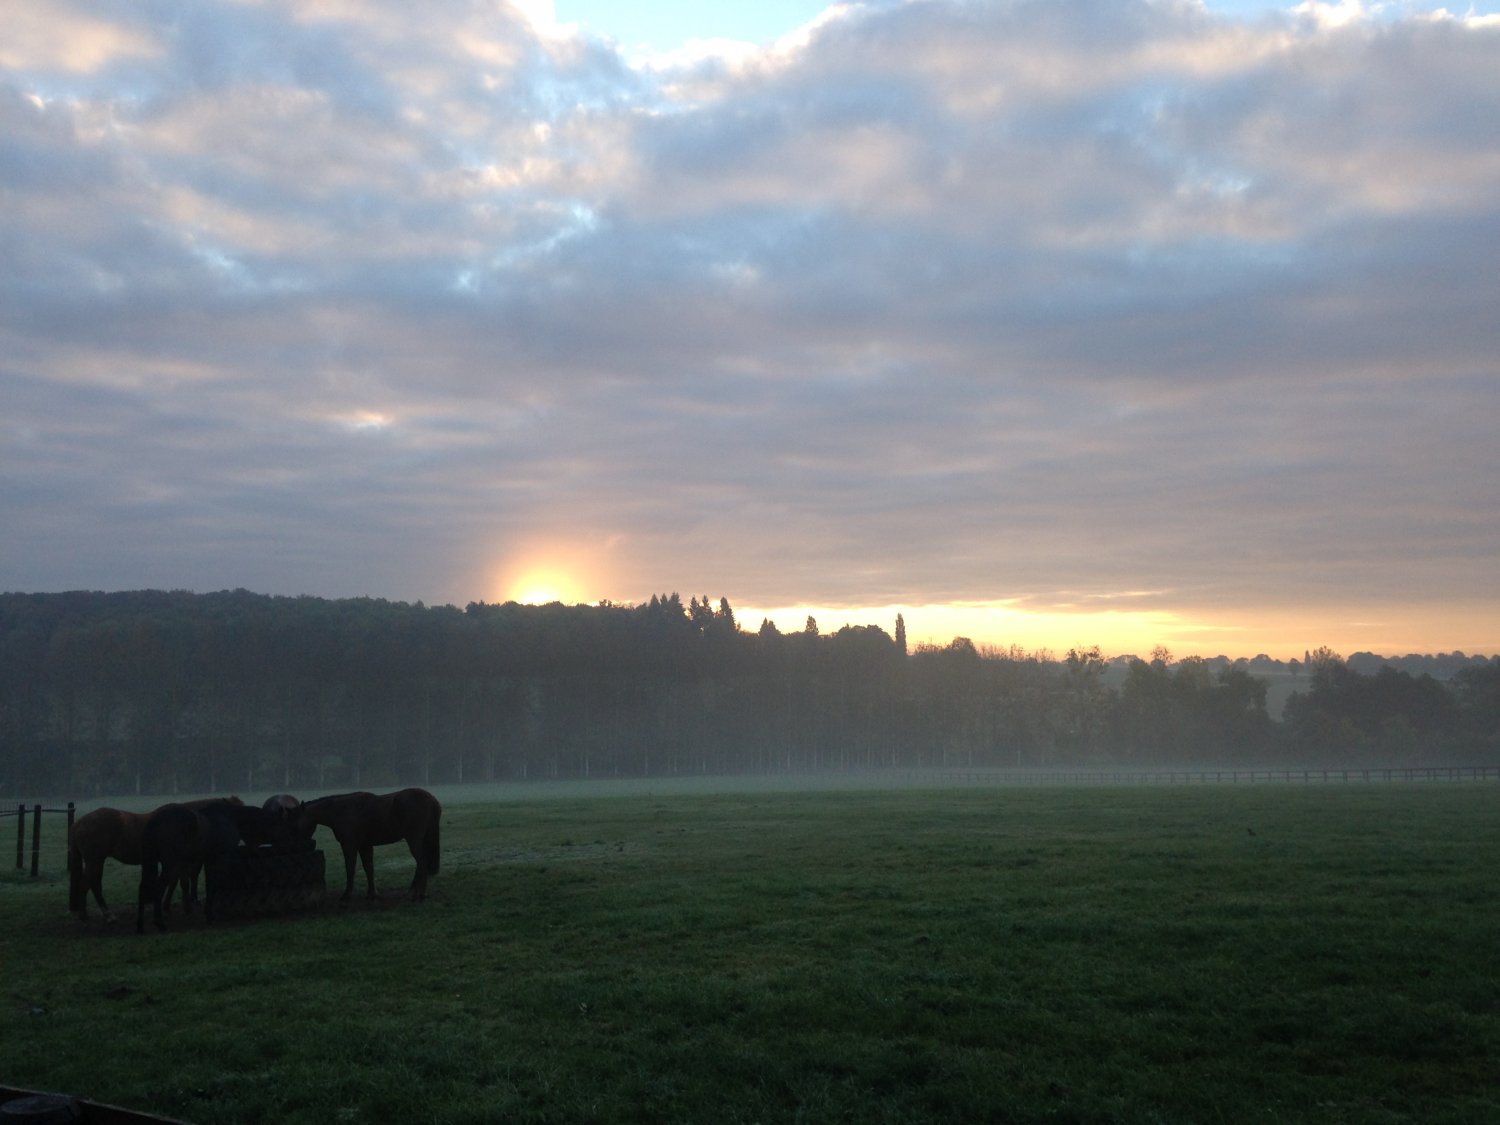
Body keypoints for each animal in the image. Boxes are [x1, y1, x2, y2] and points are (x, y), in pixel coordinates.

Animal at [69, 796, 242, 922]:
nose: (235, 840)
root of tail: (78, 823)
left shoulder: (176, 862)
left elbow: (174, 882)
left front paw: (167, 906)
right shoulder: (182, 861)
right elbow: (182, 882)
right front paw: (186, 908)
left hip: (96, 861)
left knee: (92, 884)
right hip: (95, 861)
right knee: (89, 885)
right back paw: (99, 915)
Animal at [136, 799, 279, 933]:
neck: (231, 818)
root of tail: (155, 820)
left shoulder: (208, 861)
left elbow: (209, 884)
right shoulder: (219, 860)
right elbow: (213, 886)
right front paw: (211, 916)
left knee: (143, 889)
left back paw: (140, 927)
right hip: (170, 864)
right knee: (158, 888)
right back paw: (160, 924)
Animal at [296, 788, 441, 901]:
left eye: (296, 822)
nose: (305, 845)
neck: (343, 810)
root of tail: (431, 799)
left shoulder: (349, 845)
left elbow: (350, 868)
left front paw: (347, 894)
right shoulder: (364, 845)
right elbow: (369, 868)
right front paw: (372, 894)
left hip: (413, 840)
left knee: (422, 862)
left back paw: (417, 893)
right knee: (421, 864)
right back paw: (416, 892)